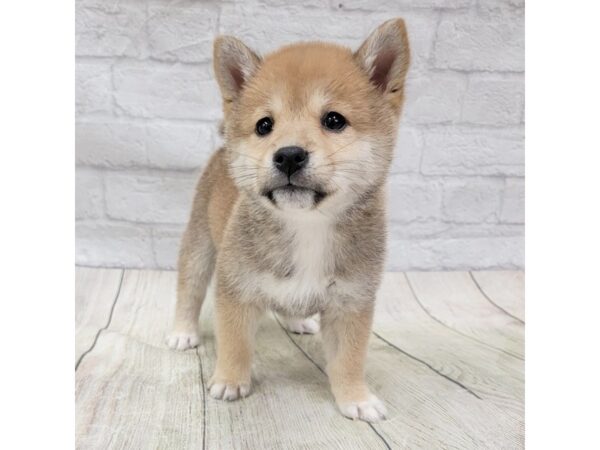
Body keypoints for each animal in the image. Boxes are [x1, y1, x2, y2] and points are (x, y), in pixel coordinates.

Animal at [171, 19, 410, 424]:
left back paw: (299, 322)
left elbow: (349, 359)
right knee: (189, 290)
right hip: (200, 244)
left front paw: (355, 398)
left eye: (334, 120)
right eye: (264, 125)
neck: (307, 226)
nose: (289, 155)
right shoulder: (236, 289)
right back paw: (183, 331)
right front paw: (230, 380)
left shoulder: (351, 302)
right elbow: (235, 343)